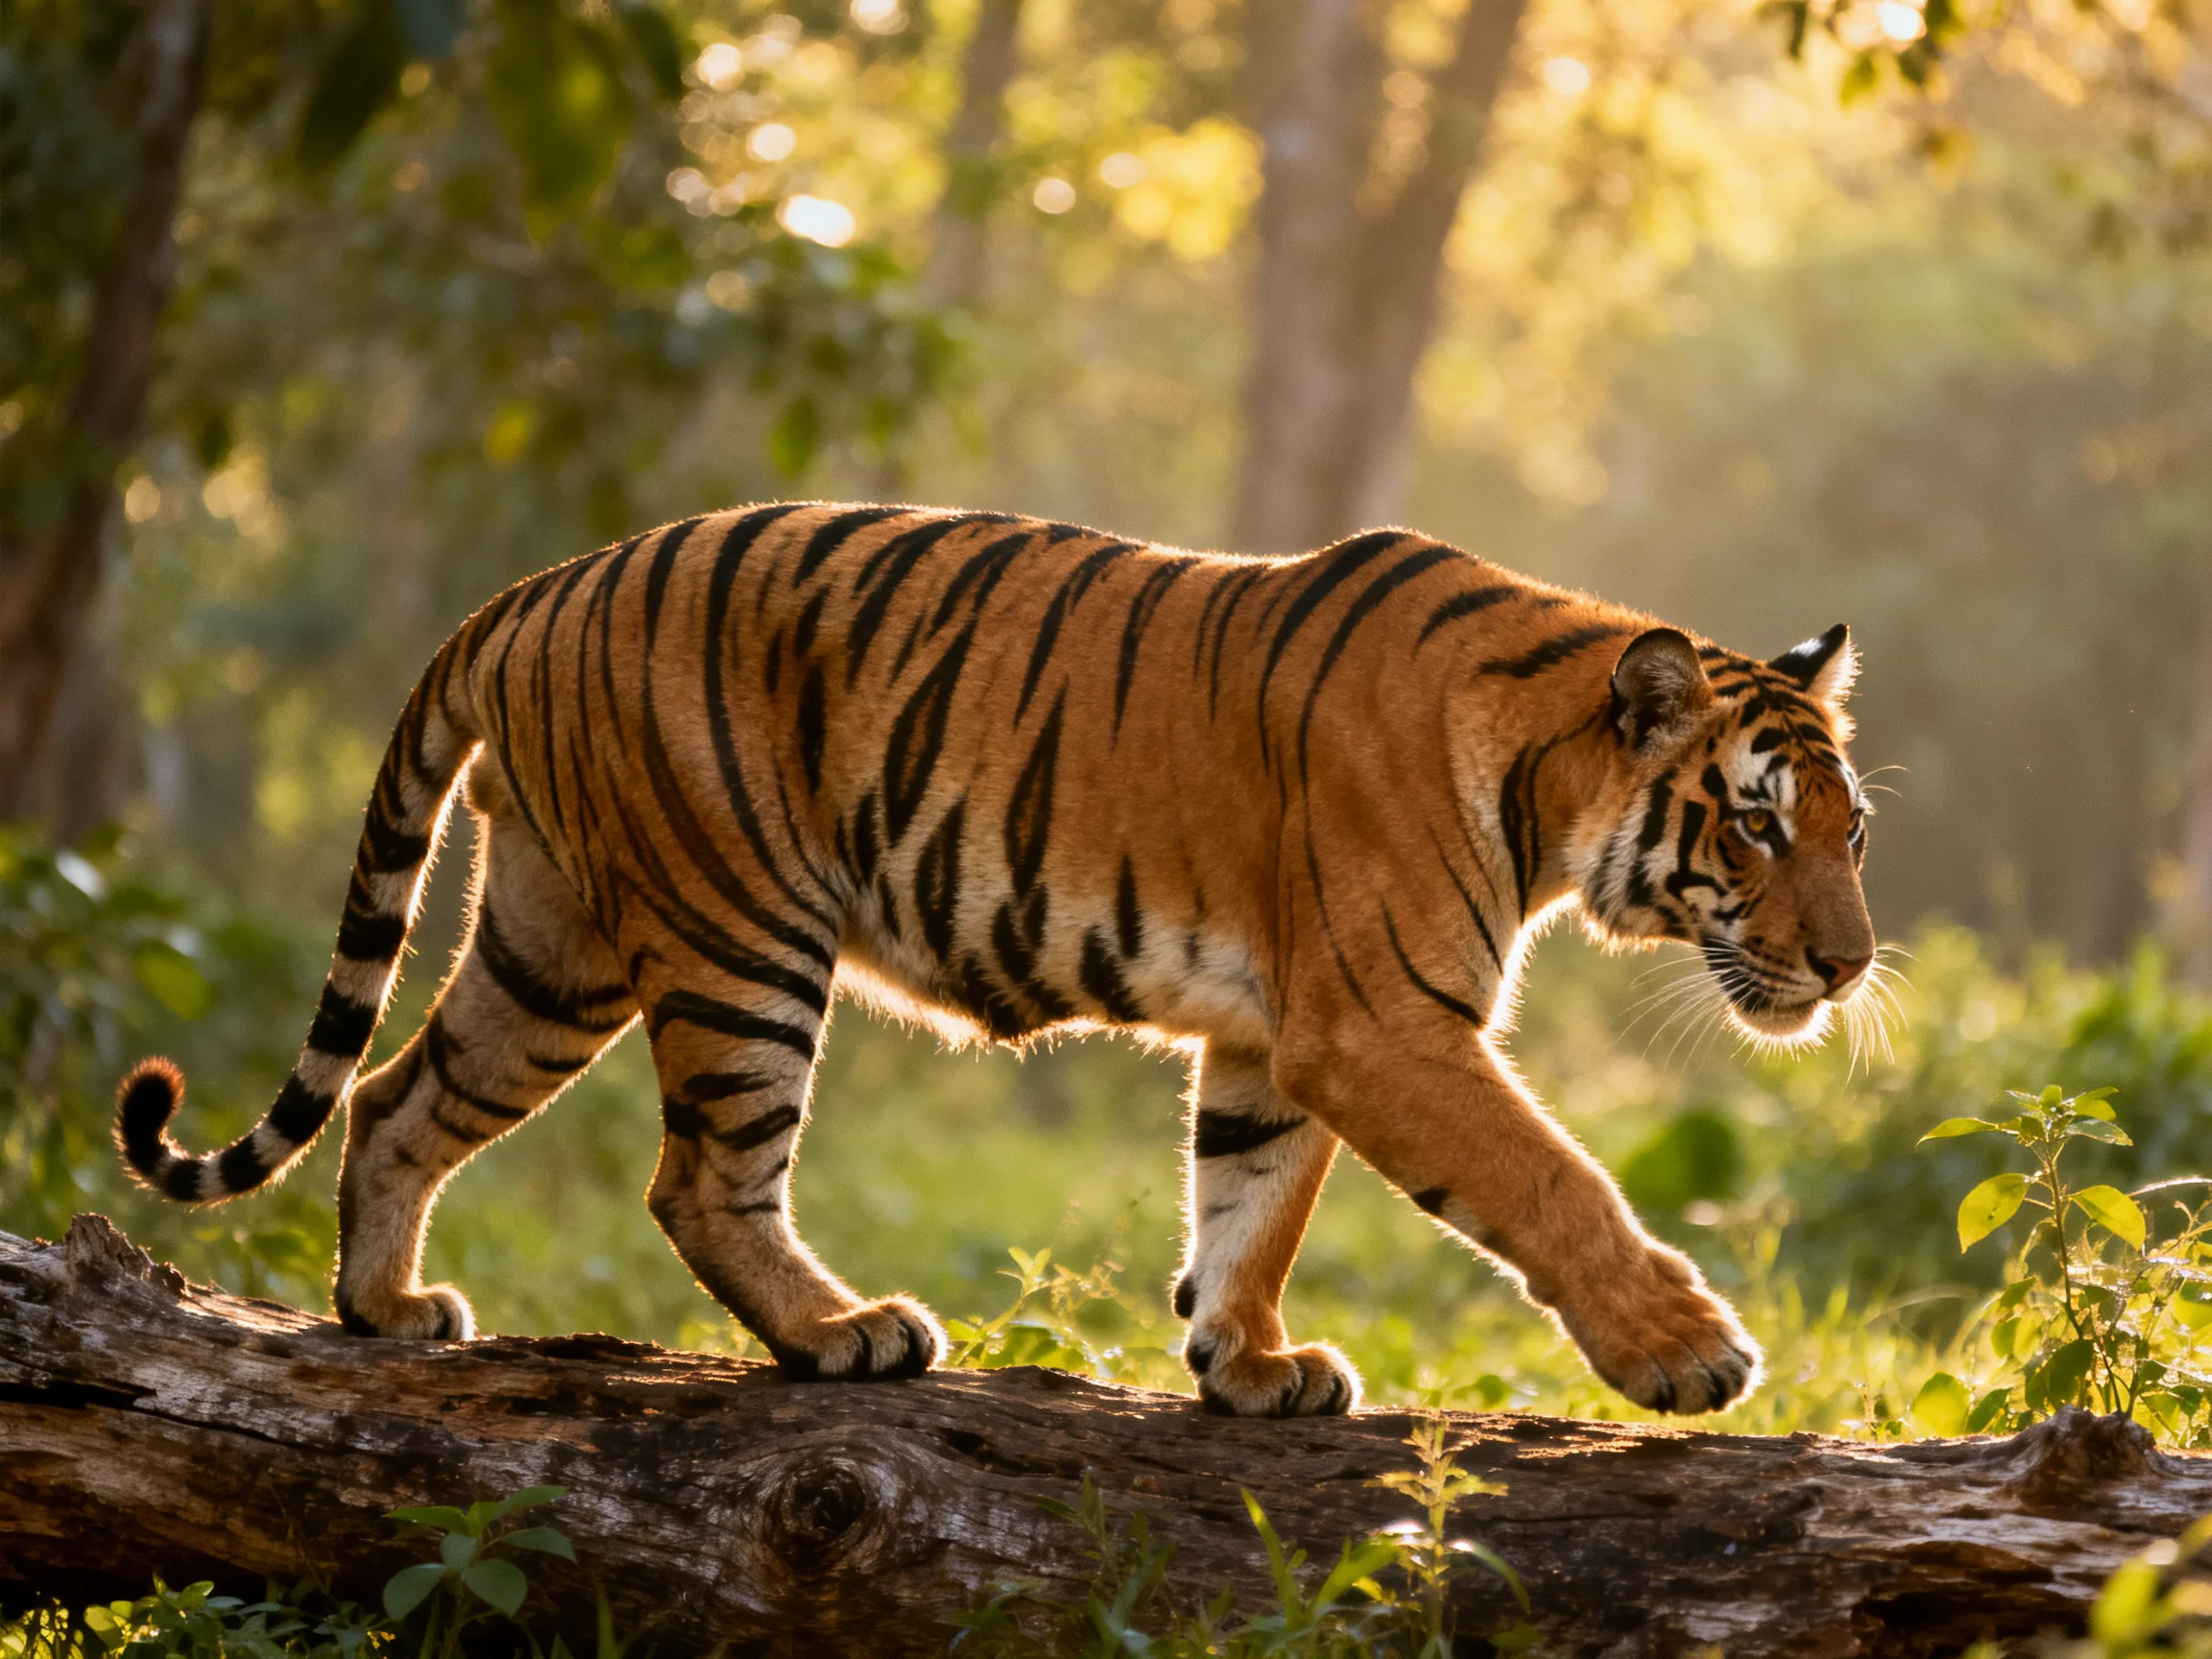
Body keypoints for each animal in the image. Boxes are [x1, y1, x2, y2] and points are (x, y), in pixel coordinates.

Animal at [115, 502, 1876, 1418]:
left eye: (1850, 829)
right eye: (1754, 826)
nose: (1851, 967)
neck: (1546, 782)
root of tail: (537, 585)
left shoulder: (1275, 1036)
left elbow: (1248, 1201)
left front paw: (1246, 1363)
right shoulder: (1381, 1023)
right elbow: (1548, 1178)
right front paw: (1686, 1352)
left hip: (553, 942)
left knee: (398, 1094)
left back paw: (383, 1307)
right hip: (741, 932)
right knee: (698, 1181)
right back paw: (844, 1334)